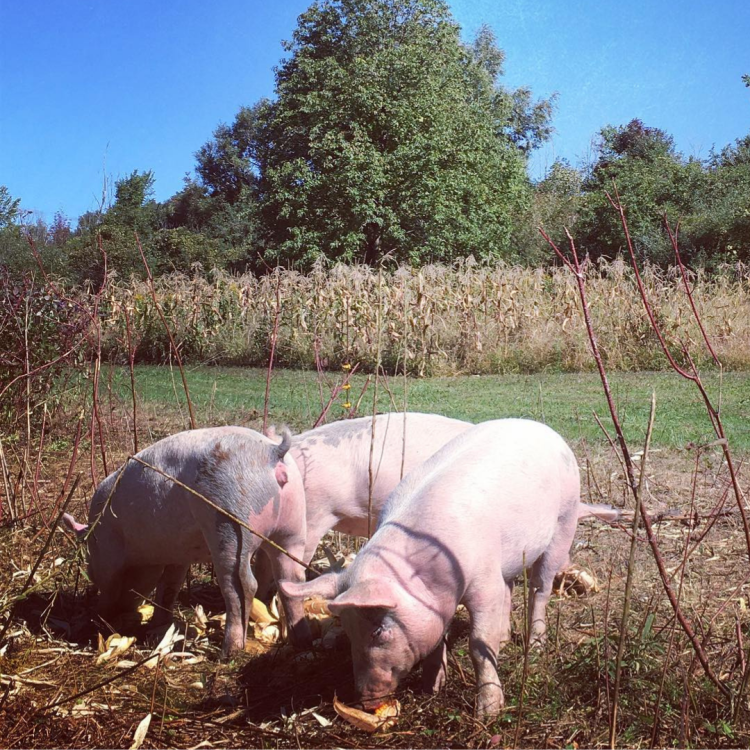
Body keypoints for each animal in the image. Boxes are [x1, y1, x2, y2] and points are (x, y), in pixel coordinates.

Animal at [62, 426, 311, 657]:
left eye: (89, 564)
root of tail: (272, 452)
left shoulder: (108, 551)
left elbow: (109, 586)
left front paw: (98, 622)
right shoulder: (178, 555)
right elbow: (169, 586)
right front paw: (156, 630)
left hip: (230, 520)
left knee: (242, 584)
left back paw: (228, 651)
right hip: (293, 527)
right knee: (292, 579)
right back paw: (300, 641)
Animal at [280, 418, 590, 719]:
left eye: (379, 630)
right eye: (347, 629)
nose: (366, 701)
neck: (431, 578)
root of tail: (547, 431)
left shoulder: (484, 580)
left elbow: (479, 644)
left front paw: (487, 714)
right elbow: (438, 638)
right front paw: (431, 689)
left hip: (564, 521)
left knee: (540, 589)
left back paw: (535, 645)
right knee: (512, 586)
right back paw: (504, 640)